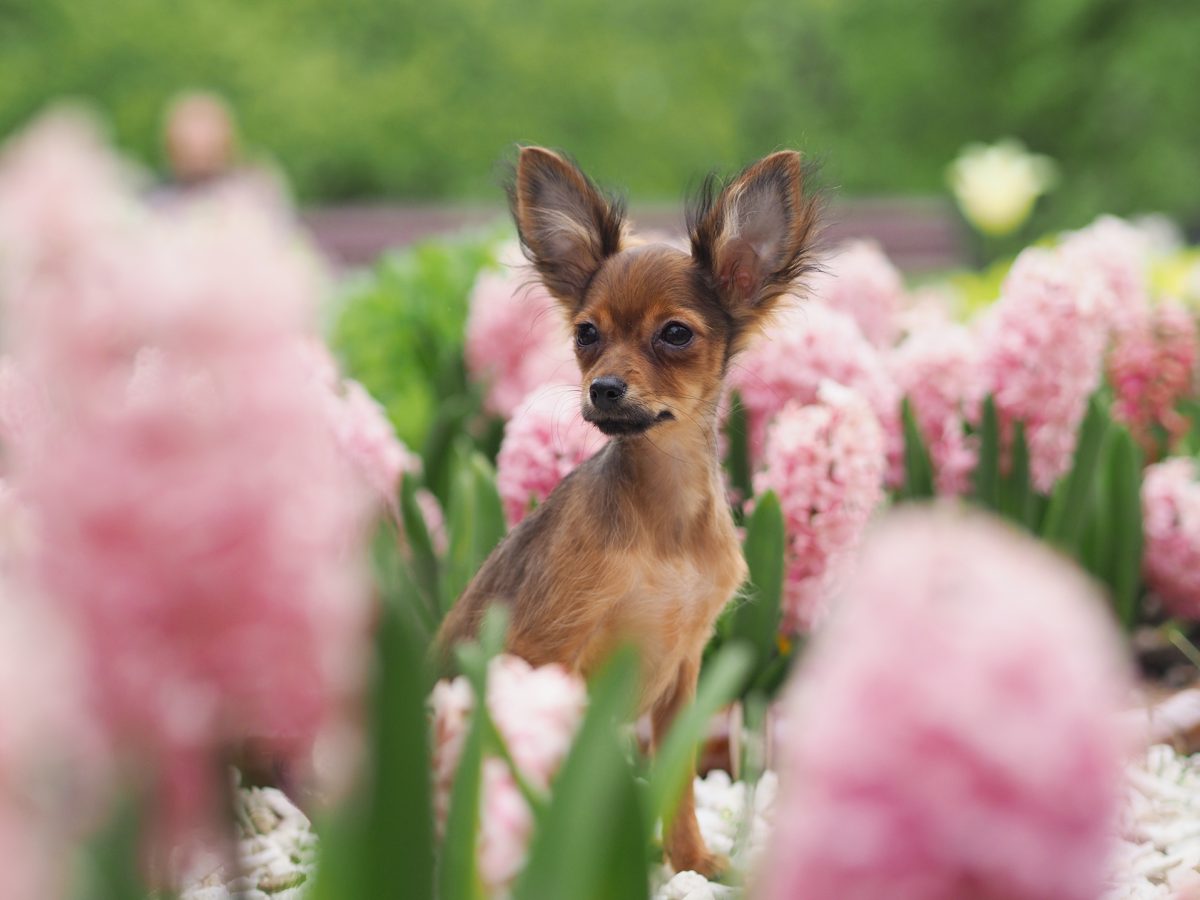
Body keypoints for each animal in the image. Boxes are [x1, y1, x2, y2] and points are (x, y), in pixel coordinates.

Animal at [436, 148, 820, 883]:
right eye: (587, 334)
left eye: (674, 334)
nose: (604, 388)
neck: (663, 522)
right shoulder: (548, 650)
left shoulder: (684, 674)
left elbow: (680, 785)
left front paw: (693, 860)